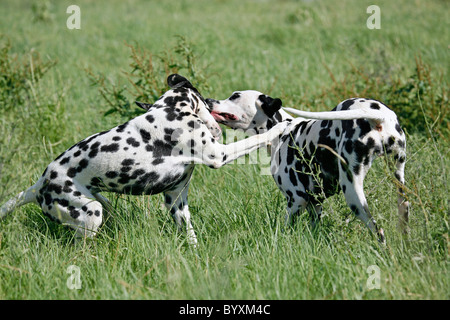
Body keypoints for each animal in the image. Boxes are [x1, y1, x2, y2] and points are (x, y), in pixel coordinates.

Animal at [0, 75, 288, 245]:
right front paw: (279, 127)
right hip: (91, 213)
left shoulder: (176, 201)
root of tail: (39, 186)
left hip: (103, 204)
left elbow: (190, 237)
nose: (210, 101)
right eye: (207, 103)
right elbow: (253, 140)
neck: (171, 111)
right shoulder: (219, 154)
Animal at [206, 91, 410, 244]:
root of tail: (377, 116)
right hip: (401, 189)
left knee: (378, 232)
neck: (283, 131)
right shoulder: (315, 204)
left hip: (353, 195)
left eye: (235, 96)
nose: (207, 100)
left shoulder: (295, 201)